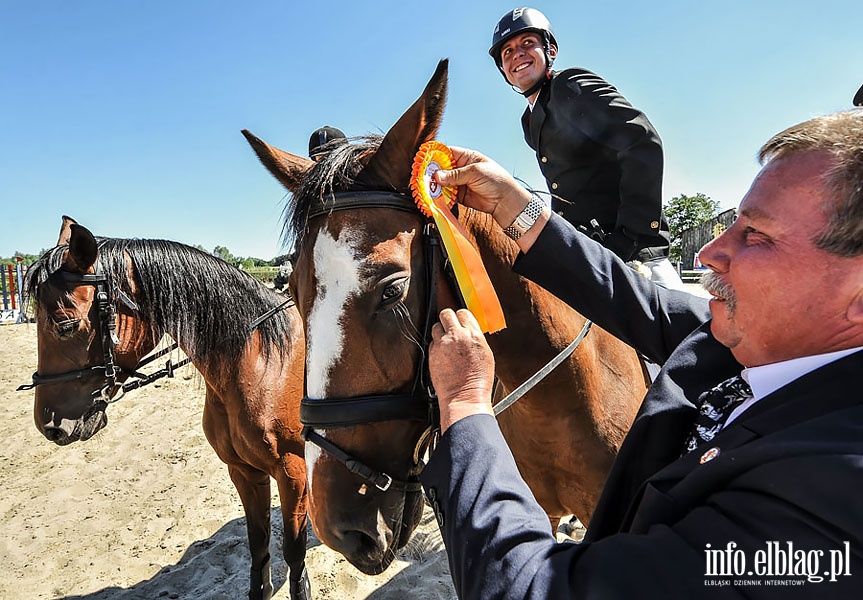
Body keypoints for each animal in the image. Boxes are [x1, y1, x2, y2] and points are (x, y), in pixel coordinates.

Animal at [22, 217, 312, 600]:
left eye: (64, 324)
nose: (50, 425)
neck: (264, 364)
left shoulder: (293, 474)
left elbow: (294, 554)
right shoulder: (243, 471)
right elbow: (258, 546)